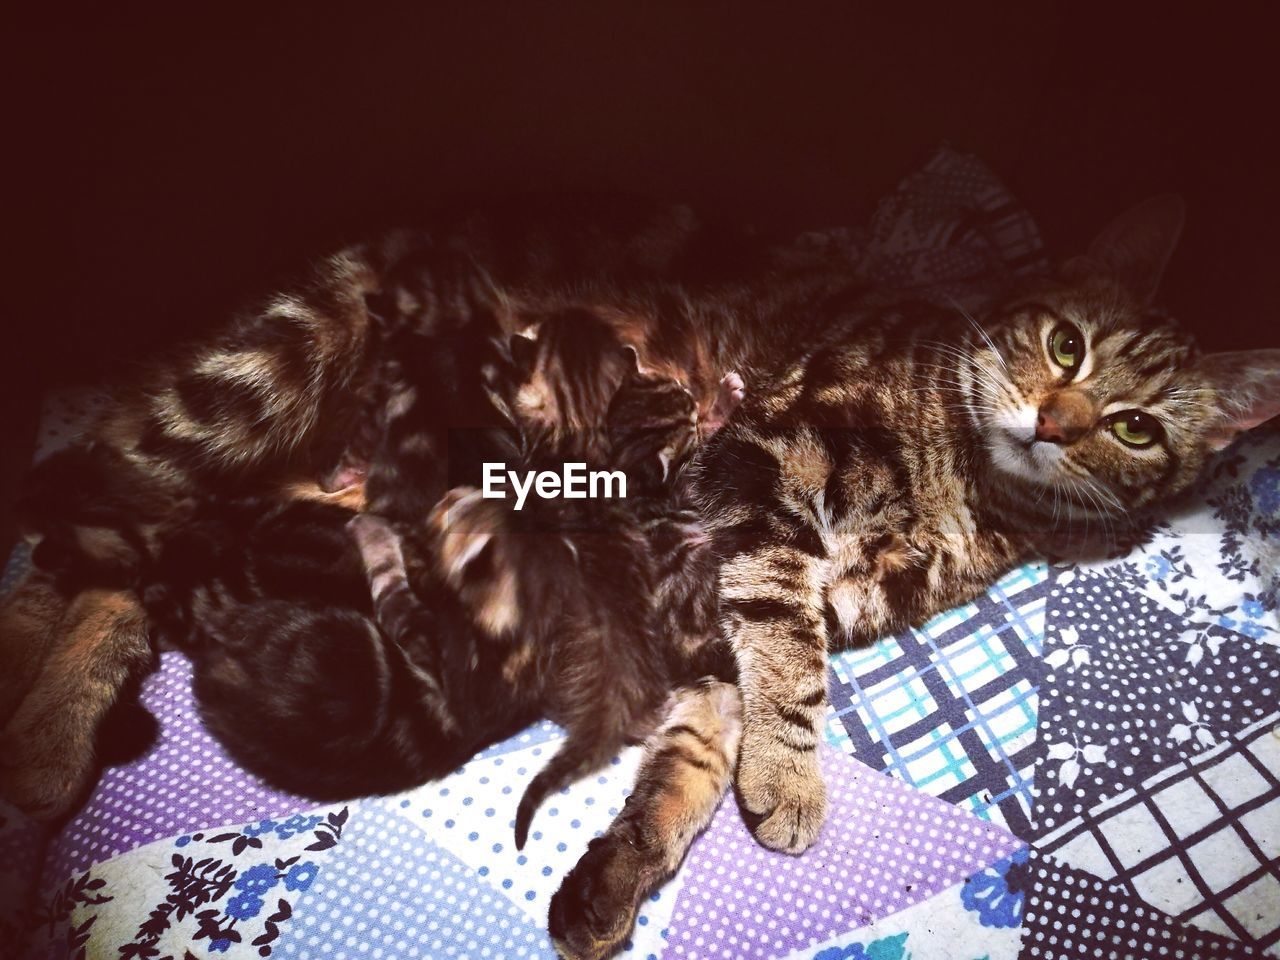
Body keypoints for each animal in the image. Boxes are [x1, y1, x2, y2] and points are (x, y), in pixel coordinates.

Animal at [2, 197, 1280, 960]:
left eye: (1133, 426)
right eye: (1063, 344)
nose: (1054, 422)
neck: (966, 487)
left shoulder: (719, 623)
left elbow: (694, 756)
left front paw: (624, 868)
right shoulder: (765, 475)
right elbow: (790, 666)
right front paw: (790, 778)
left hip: (316, 490)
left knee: (135, 554)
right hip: (251, 382)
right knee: (80, 511)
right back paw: (38, 730)